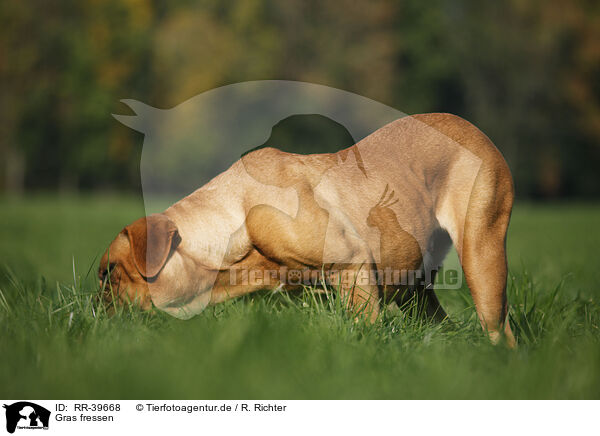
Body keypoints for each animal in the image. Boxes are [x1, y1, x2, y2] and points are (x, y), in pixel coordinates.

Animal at [98, 114, 516, 346]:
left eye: (108, 273)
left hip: (482, 257)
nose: (96, 307)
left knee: (498, 327)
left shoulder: (353, 267)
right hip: (414, 291)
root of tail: (471, 127)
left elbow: (363, 323)